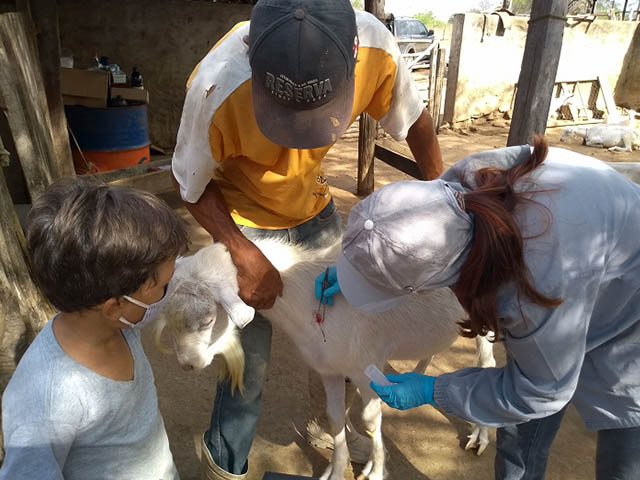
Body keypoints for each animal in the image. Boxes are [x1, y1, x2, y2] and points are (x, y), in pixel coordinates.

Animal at [156, 240, 496, 480]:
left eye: (207, 319)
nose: (188, 364)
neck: (306, 297)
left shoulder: (364, 366)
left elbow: (370, 419)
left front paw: (375, 470)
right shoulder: (330, 369)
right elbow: (334, 418)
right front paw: (335, 471)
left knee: (487, 365)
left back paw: (479, 436)